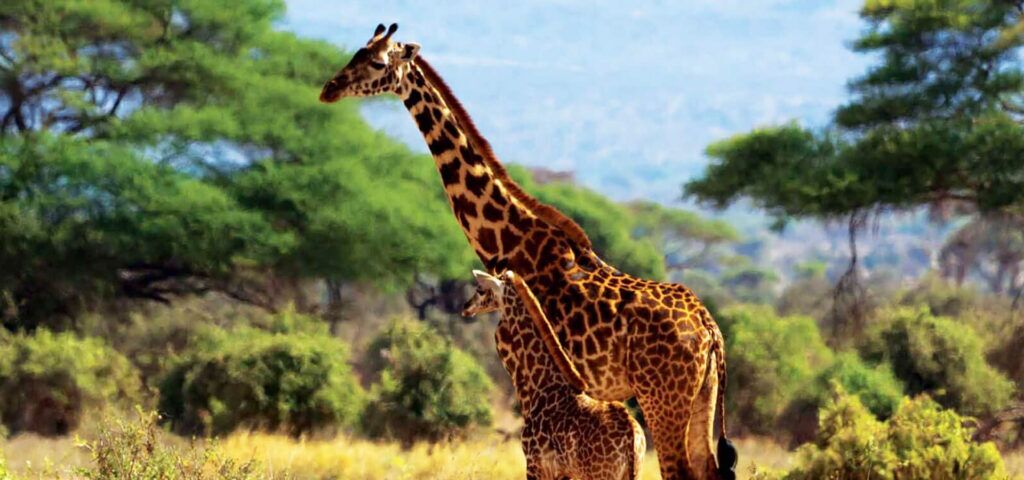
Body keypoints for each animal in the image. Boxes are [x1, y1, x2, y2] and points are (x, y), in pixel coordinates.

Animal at [463, 269, 645, 480]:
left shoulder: (535, 465)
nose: (466, 307)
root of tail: (632, 440)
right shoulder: (564, 473)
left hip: (601, 474)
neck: (538, 386)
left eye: (480, 289)